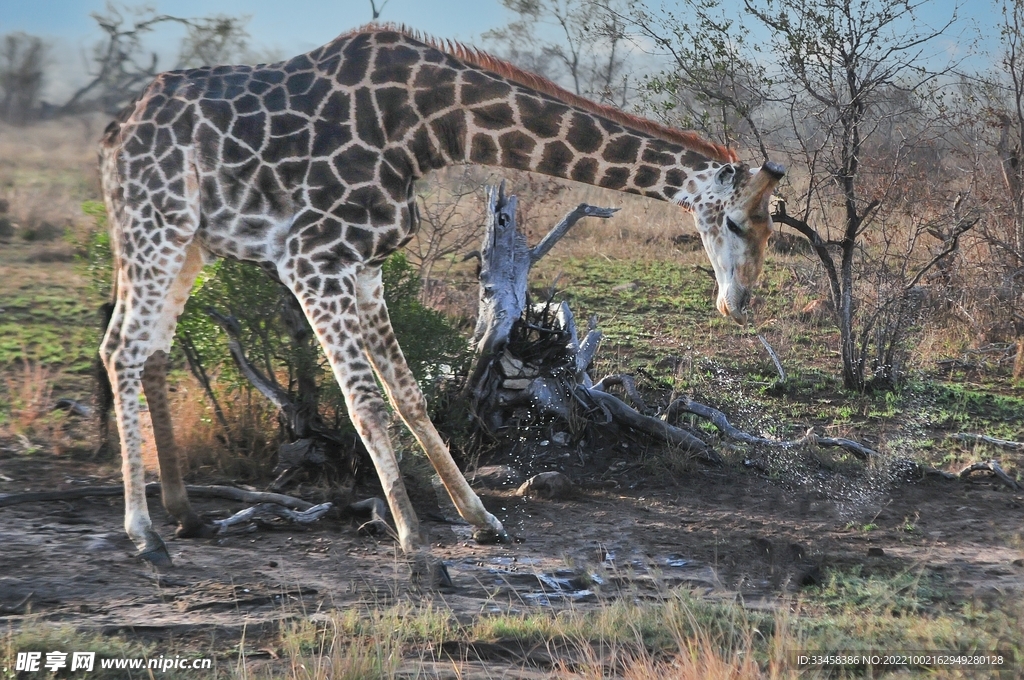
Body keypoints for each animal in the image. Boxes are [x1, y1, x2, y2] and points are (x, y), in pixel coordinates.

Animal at [97, 23, 782, 577]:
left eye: (771, 225)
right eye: (737, 221)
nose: (738, 301)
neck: (425, 129)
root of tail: (116, 133)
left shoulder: (366, 267)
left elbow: (410, 396)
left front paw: (482, 520)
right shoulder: (312, 259)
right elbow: (366, 403)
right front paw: (419, 550)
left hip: (189, 241)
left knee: (152, 351)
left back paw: (186, 516)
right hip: (153, 226)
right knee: (121, 348)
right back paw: (145, 535)